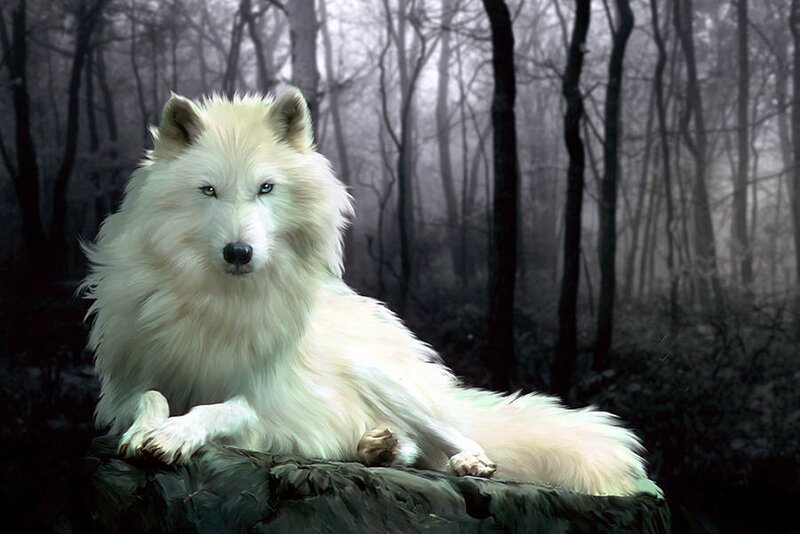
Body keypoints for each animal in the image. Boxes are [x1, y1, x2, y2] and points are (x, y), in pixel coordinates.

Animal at [82, 89, 651, 496]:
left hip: (384, 380)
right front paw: (148, 431)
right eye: (208, 190)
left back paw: (463, 458)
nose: (238, 253)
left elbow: (219, 409)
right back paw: (378, 447)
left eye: (266, 188)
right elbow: (152, 397)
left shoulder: (267, 402)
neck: (216, 300)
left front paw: (174, 435)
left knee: (452, 435)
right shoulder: (125, 387)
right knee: (411, 448)